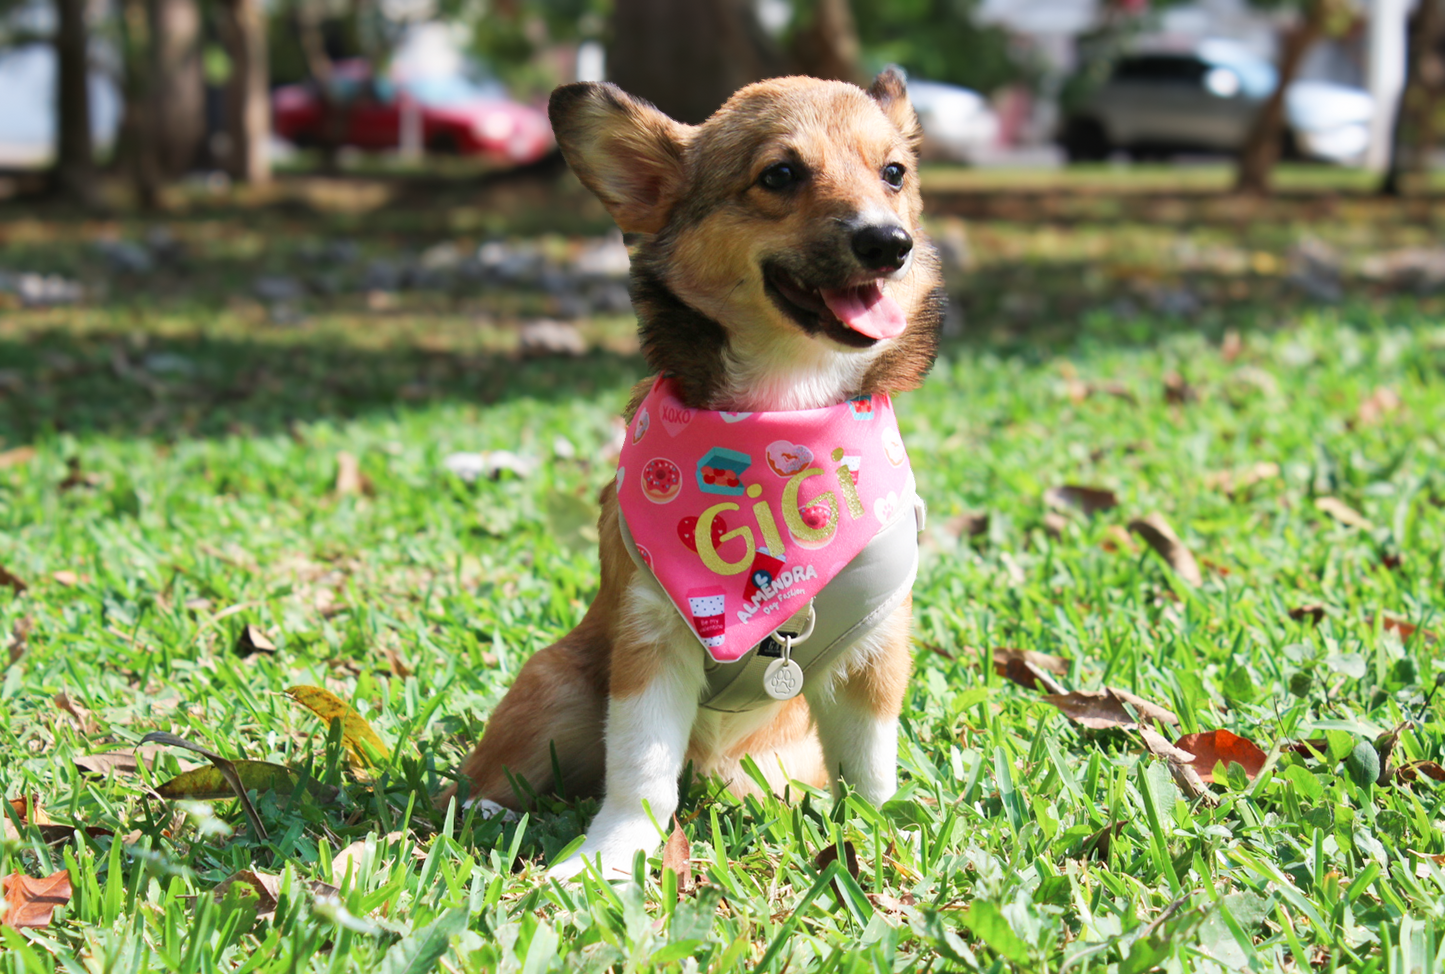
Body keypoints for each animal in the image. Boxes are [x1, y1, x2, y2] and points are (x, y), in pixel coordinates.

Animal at [453, 64, 947, 878]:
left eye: (894, 173)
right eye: (779, 175)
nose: (889, 243)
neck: (784, 407)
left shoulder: (874, 651)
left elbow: (870, 762)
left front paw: (882, 833)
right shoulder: (651, 644)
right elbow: (640, 771)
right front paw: (609, 857)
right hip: (555, 687)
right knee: (496, 772)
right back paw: (486, 810)